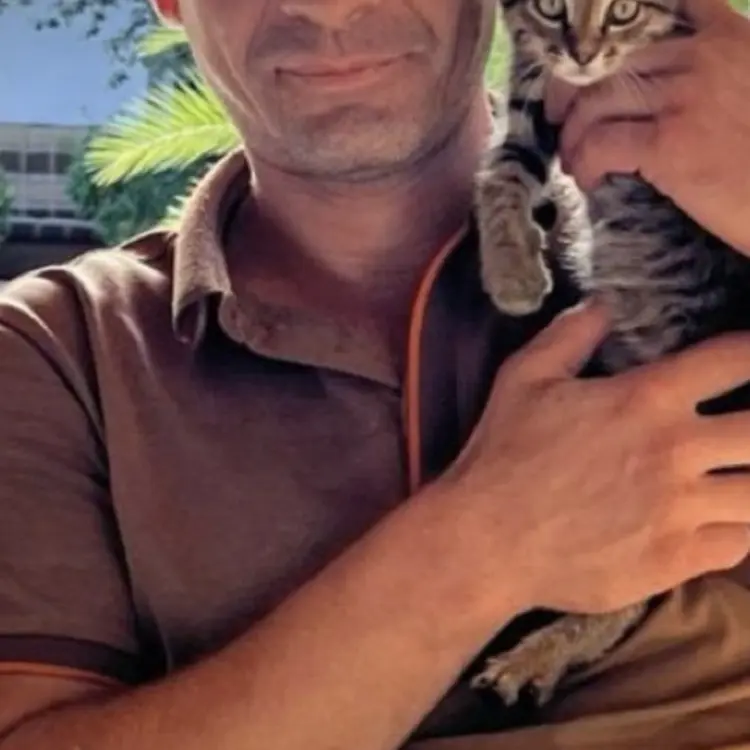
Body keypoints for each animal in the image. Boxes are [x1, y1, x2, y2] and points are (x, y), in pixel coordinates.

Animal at [471, 0, 750, 708]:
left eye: (622, 11)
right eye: (552, 7)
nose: (583, 54)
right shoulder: (529, 96)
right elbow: (499, 170)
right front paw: (512, 272)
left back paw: (538, 653)